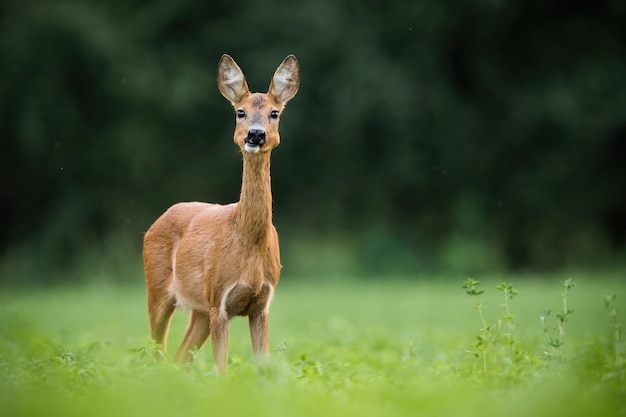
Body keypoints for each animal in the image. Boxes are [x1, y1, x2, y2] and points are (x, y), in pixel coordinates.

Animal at [143, 53, 298, 372]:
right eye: (240, 112)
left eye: (274, 113)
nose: (255, 134)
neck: (248, 242)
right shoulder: (219, 301)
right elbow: (222, 370)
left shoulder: (261, 305)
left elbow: (263, 367)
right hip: (159, 290)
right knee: (157, 352)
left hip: (199, 311)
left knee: (179, 357)